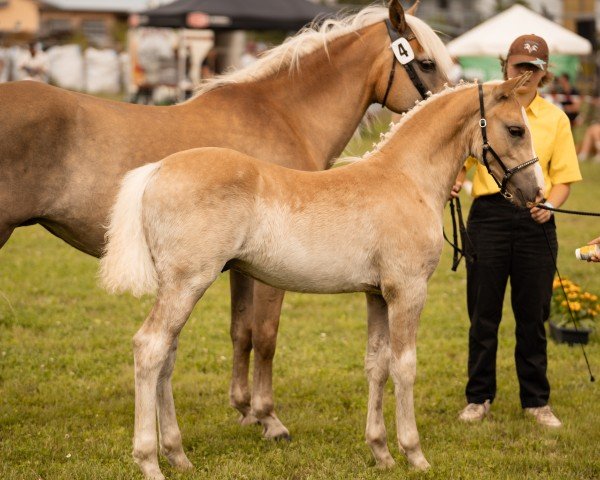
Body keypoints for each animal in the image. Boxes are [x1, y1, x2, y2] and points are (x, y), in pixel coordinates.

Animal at [0, 0, 450, 442]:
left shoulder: (242, 267)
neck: (284, 116)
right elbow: (265, 336)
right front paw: (269, 417)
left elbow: (241, 332)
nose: (448, 102)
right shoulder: (272, 272)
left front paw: (245, 409)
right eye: (426, 63)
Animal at [99, 75, 544, 480]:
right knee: (150, 348)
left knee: (167, 356)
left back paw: (177, 455)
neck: (406, 179)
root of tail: (156, 170)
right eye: (516, 129)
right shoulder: (407, 292)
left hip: (178, 287)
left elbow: (376, 365)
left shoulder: (376, 295)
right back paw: (150, 461)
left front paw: (381, 452)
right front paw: (414, 454)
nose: (536, 194)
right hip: (187, 284)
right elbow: (405, 366)